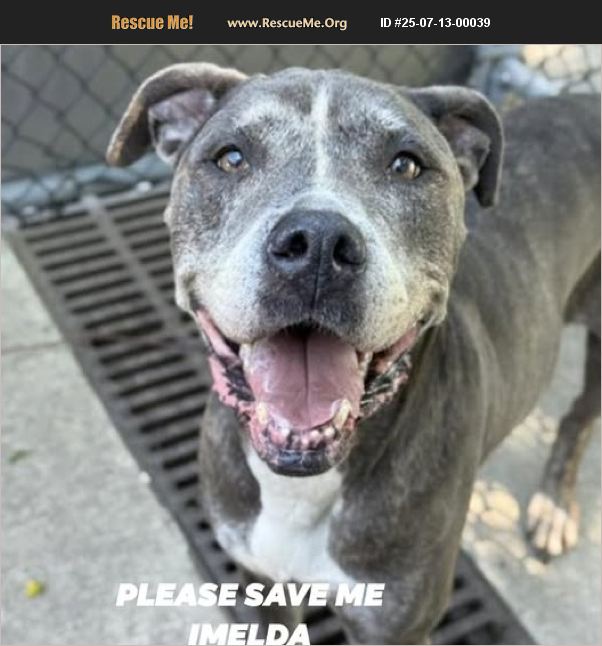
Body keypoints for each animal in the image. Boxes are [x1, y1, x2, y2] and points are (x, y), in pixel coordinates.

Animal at [107, 63, 601, 644]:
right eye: (231, 157)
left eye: (406, 164)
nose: (318, 242)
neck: (300, 488)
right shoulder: (260, 584)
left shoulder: (395, 625)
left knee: (577, 418)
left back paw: (554, 508)